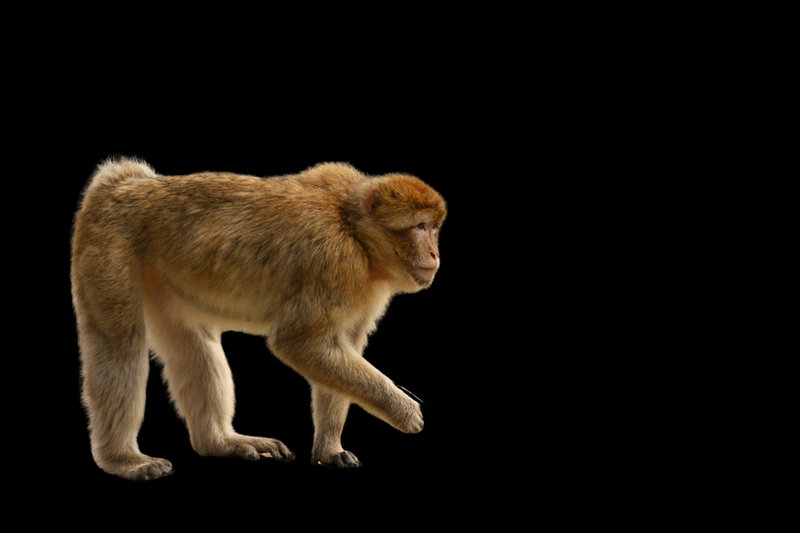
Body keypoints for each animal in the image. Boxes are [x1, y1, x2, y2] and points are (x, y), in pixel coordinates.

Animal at [70, 157, 446, 480]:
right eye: (420, 226)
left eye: (434, 228)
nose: (434, 253)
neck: (353, 227)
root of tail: (123, 185)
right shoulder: (335, 263)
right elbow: (300, 342)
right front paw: (403, 409)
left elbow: (340, 346)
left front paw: (329, 449)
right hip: (109, 244)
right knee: (119, 344)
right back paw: (123, 459)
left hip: (162, 278)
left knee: (193, 345)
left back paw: (220, 442)